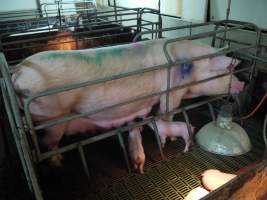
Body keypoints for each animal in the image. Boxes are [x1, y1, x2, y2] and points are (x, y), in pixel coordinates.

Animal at [11, 38, 244, 164]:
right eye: (228, 70)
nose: (242, 84)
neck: (191, 67)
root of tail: (18, 70)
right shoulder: (171, 91)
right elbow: (168, 111)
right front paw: (168, 133)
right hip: (53, 117)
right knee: (49, 144)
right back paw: (58, 163)